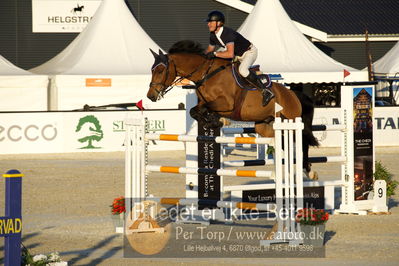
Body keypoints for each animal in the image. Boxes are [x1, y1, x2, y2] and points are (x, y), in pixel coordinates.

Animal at [147, 40, 318, 176]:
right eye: (152, 70)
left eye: (160, 70)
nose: (150, 96)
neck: (206, 74)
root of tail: (293, 94)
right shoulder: (205, 103)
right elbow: (194, 111)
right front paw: (213, 121)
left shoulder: (226, 104)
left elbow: (203, 109)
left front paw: (215, 121)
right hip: (265, 126)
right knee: (280, 142)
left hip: (290, 120)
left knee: (303, 142)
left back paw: (308, 170)